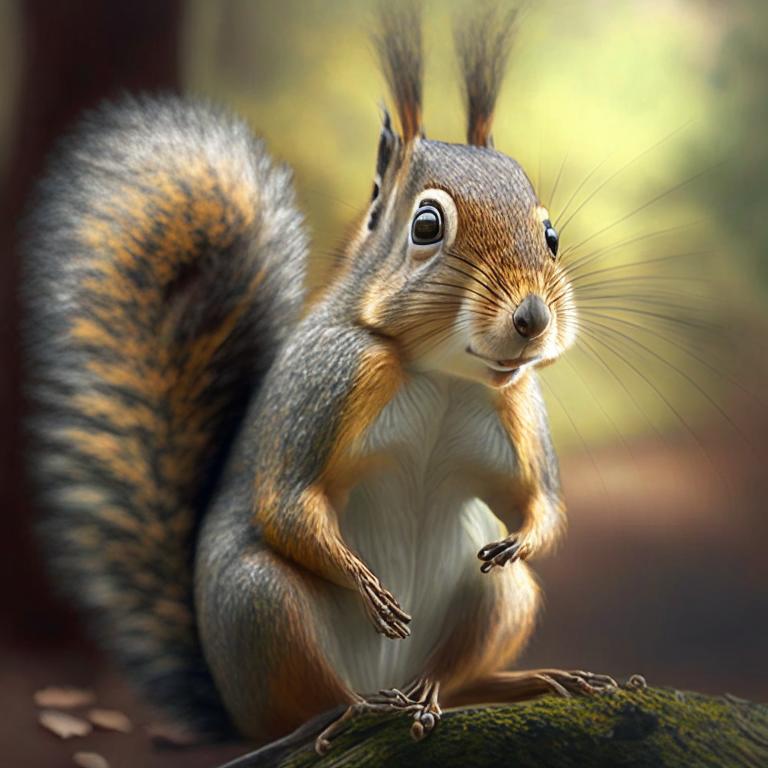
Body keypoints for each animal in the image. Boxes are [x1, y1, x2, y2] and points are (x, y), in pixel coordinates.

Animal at [22, 6, 618, 754]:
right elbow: (286, 501)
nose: (533, 319)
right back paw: (358, 710)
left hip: (501, 598)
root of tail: (235, 711)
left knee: (461, 665)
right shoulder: (334, 381)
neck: (445, 375)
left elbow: (543, 502)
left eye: (550, 234)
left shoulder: (516, 407)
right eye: (426, 225)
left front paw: (526, 537)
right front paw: (366, 588)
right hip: (263, 610)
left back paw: (495, 686)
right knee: (312, 701)